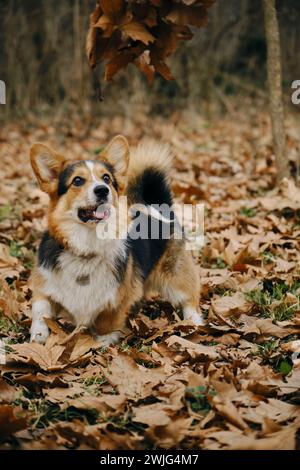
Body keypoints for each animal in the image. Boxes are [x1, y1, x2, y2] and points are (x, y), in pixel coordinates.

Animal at [29, 136, 204, 346]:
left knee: (190, 300)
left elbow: (108, 320)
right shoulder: (43, 282)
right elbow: (40, 308)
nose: (102, 190)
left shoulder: (118, 297)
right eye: (77, 180)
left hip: (176, 280)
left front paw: (103, 341)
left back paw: (194, 323)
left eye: (106, 178)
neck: (87, 246)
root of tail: (158, 212)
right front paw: (39, 333)